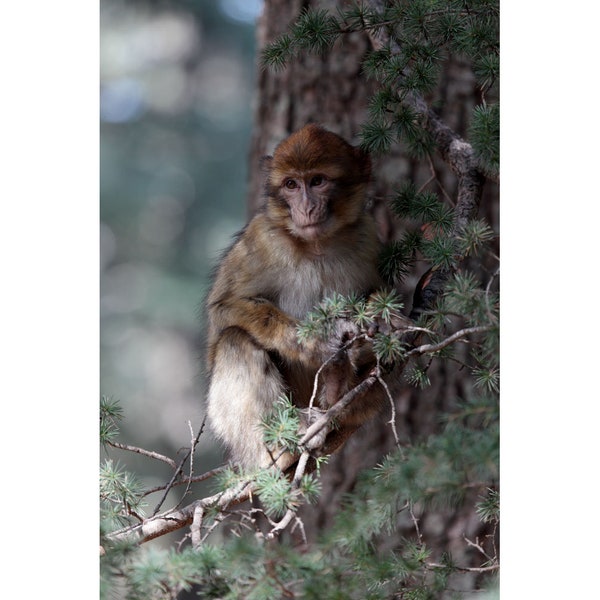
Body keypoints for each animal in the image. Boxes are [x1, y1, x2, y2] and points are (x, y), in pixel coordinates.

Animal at [206, 124, 404, 472]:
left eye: (317, 181)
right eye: (291, 185)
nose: (306, 207)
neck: (317, 245)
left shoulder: (367, 236)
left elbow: (381, 298)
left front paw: (386, 319)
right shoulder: (262, 238)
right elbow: (224, 309)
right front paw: (317, 342)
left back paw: (338, 393)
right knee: (234, 339)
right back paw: (281, 444)